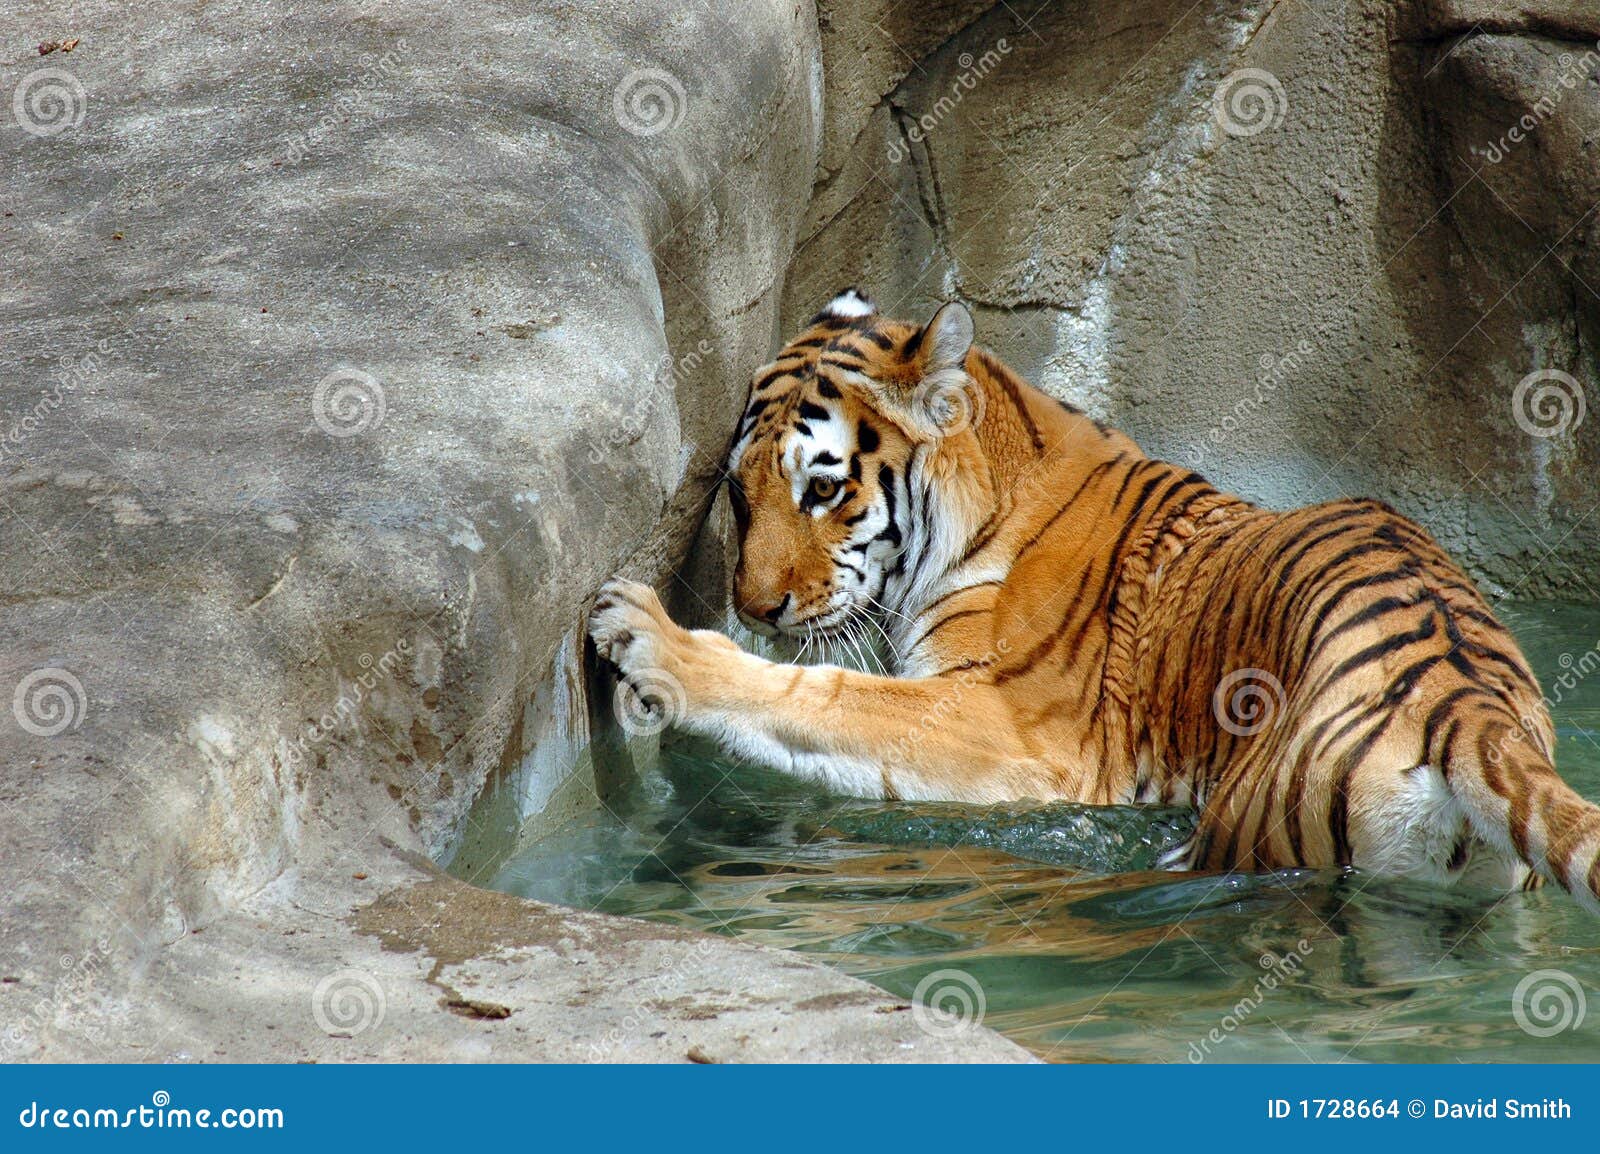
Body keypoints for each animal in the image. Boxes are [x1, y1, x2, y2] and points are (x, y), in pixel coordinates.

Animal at [592, 288, 1600, 909]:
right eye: (738, 492)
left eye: (823, 489)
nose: (756, 608)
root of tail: (1463, 702)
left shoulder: (1003, 724)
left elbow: (827, 697)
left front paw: (647, 636)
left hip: (1235, 834)